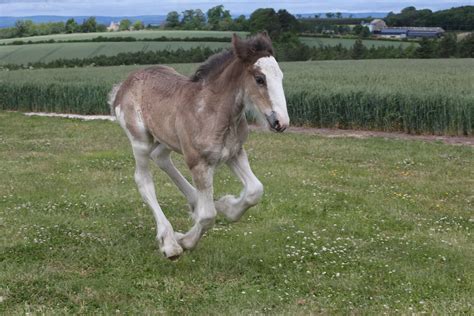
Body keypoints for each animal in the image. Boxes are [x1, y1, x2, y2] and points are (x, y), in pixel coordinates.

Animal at [109, 33, 288, 260]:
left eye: (280, 76)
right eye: (260, 79)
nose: (281, 122)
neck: (212, 110)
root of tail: (124, 84)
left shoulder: (234, 153)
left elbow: (255, 190)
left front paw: (227, 206)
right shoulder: (198, 162)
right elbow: (208, 216)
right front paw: (184, 241)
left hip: (167, 138)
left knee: (160, 157)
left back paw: (197, 201)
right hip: (140, 141)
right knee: (143, 181)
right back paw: (169, 242)